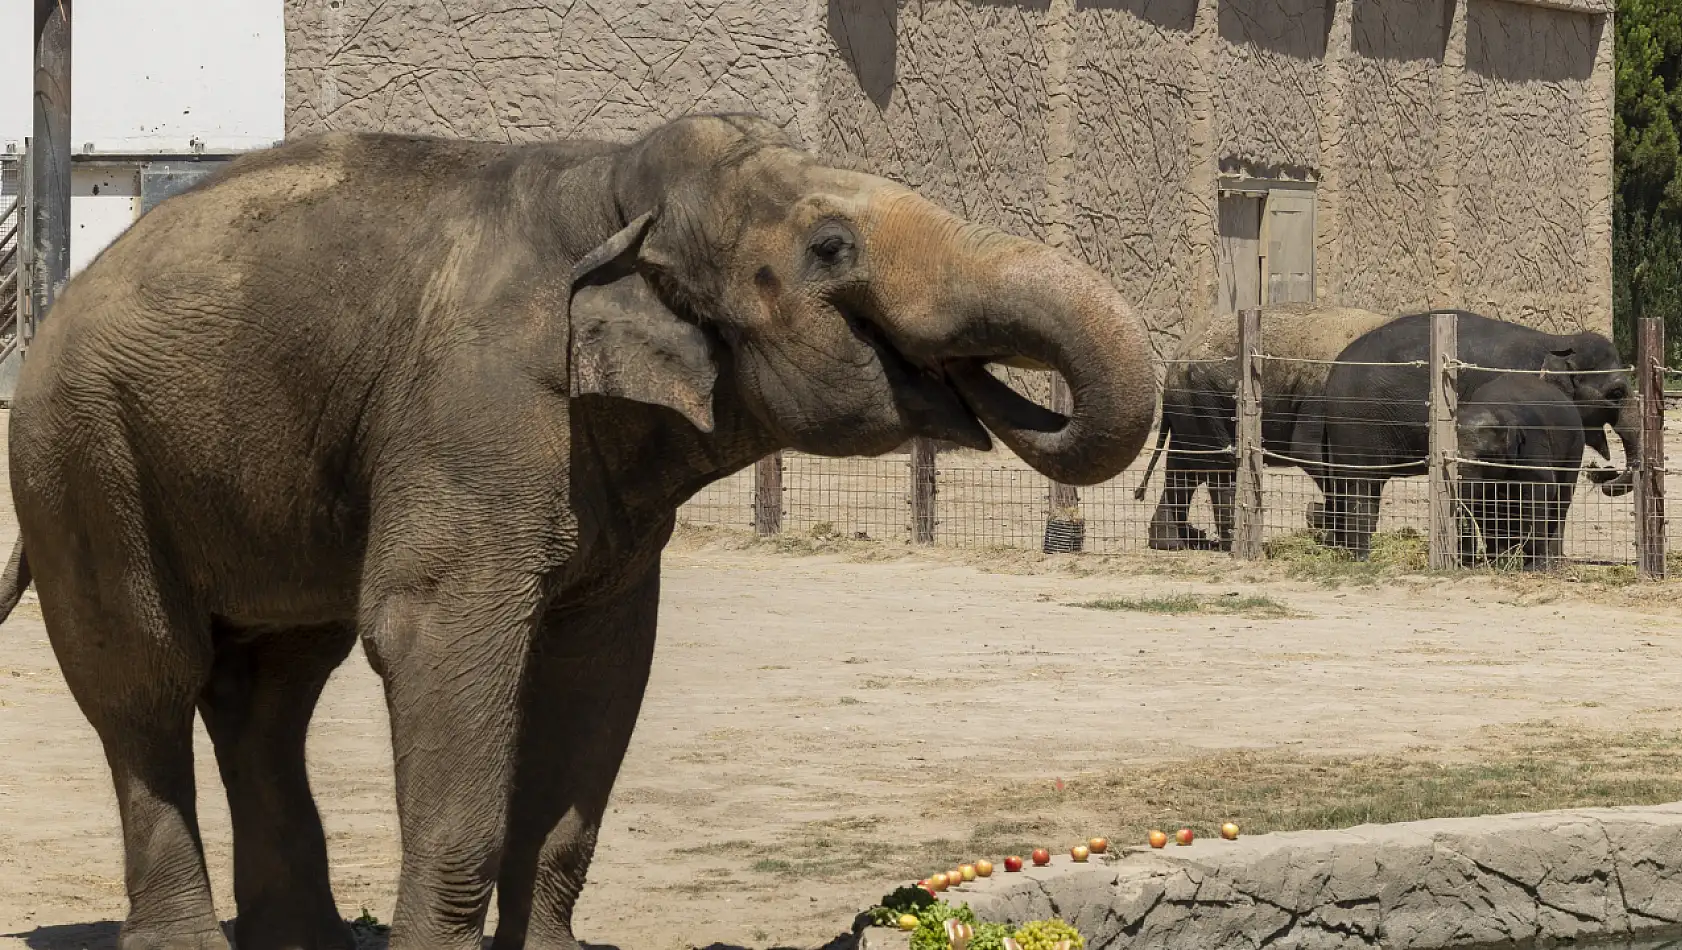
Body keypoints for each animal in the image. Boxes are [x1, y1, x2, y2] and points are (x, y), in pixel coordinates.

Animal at [0, 112, 1157, 948]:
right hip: (83, 457)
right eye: (830, 249)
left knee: (272, 687)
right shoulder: (479, 404)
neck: (611, 186)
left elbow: (600, 666)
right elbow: (434, 635)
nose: (976, 386)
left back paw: (307, 943)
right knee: (146, 679)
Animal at [1137, 295, 1399, 548]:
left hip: (1188, 406)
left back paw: (1174, 541)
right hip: (1202, 401)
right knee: (1218, 467)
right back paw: (1228, 542)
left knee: (1184, 463)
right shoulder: (1320, 398)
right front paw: (1332, 534)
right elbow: (1310, 452)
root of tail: (1172, 363)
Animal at [1453, 374, 1581, 571]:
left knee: (1562, 498)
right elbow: (1486, 504)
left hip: (1574, 448)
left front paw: (1534, 565)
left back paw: (1552, 559)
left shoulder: (1532, 443)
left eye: (1486, 456)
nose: (1465, 560)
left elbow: (1540, 489)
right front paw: (1499, 562)